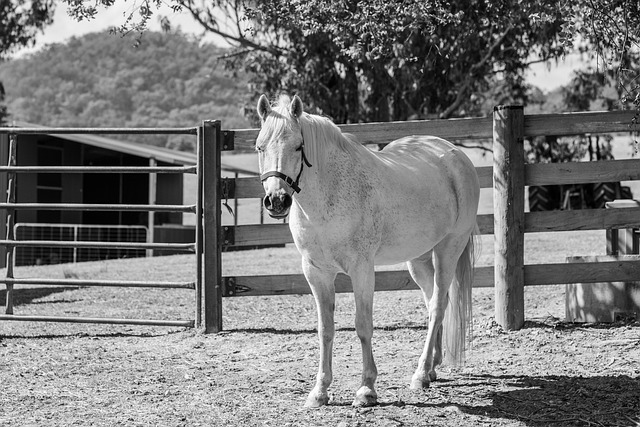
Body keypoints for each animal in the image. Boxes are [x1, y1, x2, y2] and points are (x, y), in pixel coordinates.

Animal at [255, 93, 480, 408]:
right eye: (260, 147)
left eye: (298, 146)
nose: (276, 200)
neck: (329, 196)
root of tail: (456, 156)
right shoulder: (316, 272)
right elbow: (326, 329)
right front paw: (320, 391)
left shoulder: (361, 269)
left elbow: (363, 325)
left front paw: (366, 389)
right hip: (419, 259)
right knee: (436, 302)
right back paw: (432, 368)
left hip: (449, 249)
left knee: (437, 306)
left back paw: (420, 374)